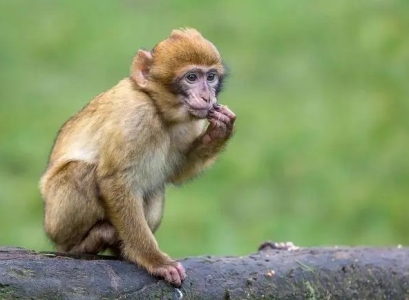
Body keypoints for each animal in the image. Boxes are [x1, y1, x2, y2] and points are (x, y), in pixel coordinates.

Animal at [39, 28, 236, 286]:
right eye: (191, 77)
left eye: (210, 77)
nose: (207, 97)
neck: (157, 107)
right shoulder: (137, 117)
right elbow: (115, 181)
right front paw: (155, 260)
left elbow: (175, 173)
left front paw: (220, 130)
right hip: (56, 223)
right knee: (79, 172)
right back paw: (85, 245)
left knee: (155, 186)